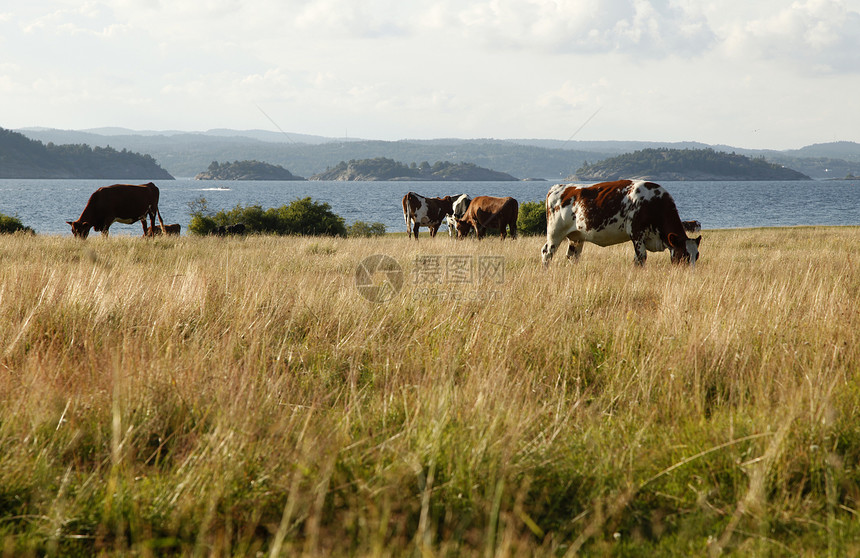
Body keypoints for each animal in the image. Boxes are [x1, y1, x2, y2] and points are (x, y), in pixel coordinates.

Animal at [540, 179, 704, 266]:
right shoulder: (637, 234)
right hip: (555, 233)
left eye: (696, 256)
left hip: (576, 237)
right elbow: (641, 259)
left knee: (572, 256)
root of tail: (560, 187)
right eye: (684, 255)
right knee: (547, 252)